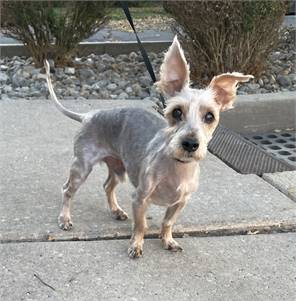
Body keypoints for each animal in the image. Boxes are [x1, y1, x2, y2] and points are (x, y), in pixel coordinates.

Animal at [44, 36, 252, 256]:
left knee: (108, 186)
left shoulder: (180, 202)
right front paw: (136, 245)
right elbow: (141, 225)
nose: (190, 143)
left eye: (210, 116)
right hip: (82, 166)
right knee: (67, 190)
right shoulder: (140, 198)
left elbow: (168, 222)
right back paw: (65, 218)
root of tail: (89, 115)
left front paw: (167, 240)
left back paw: (116, 210)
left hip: (118, 167)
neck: (177, 167)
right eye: (177, 112)